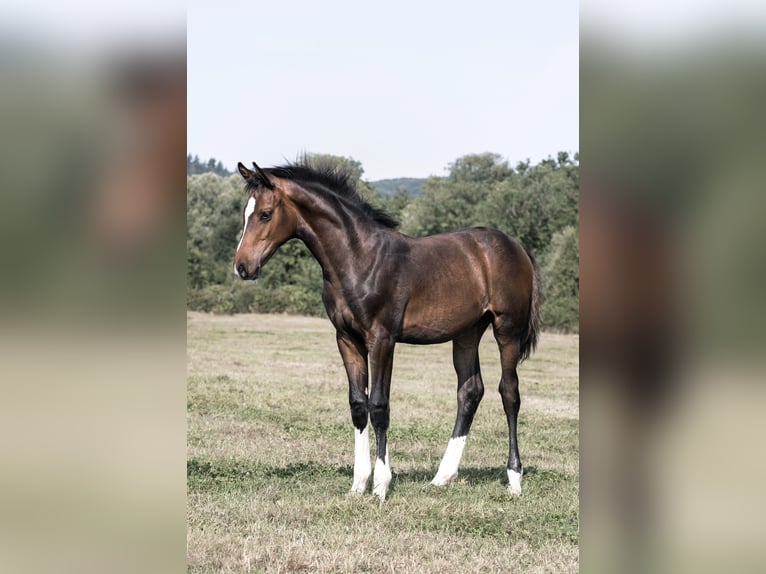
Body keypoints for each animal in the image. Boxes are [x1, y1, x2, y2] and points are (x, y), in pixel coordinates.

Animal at [234, 160, 540, 502]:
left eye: (265, 214)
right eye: (246, 212)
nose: (242, 266)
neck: (360, 257)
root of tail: (517, 248)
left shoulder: (382, 339)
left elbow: (379, 405)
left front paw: (381, 485)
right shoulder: (347, 339)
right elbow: (358, 404)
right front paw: (358, 484)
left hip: (507, 330)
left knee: (509, 393)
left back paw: (514, 479)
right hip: (467, 333)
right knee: (470, 391)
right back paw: (442, 477)